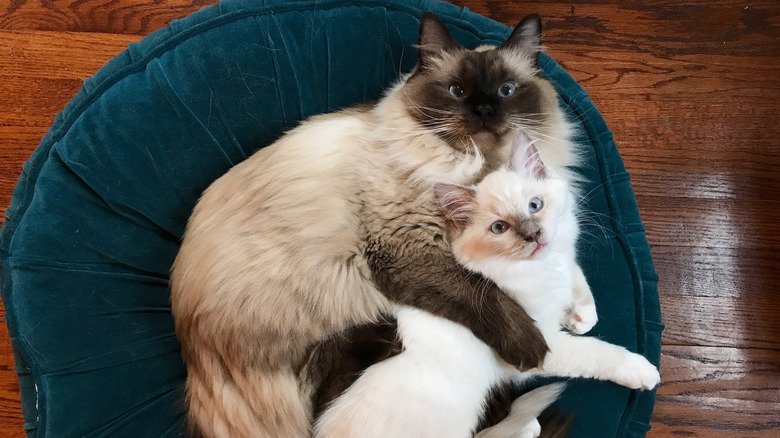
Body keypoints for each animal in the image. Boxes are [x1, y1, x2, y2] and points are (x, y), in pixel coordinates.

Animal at [171, 12, 572, 436]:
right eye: (456, 91)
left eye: (506, 90)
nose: (482, 110)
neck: (477, 163)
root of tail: (194, 357)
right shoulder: (408, 251)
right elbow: (486, 295)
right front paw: (534, 347)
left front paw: (580, 312)